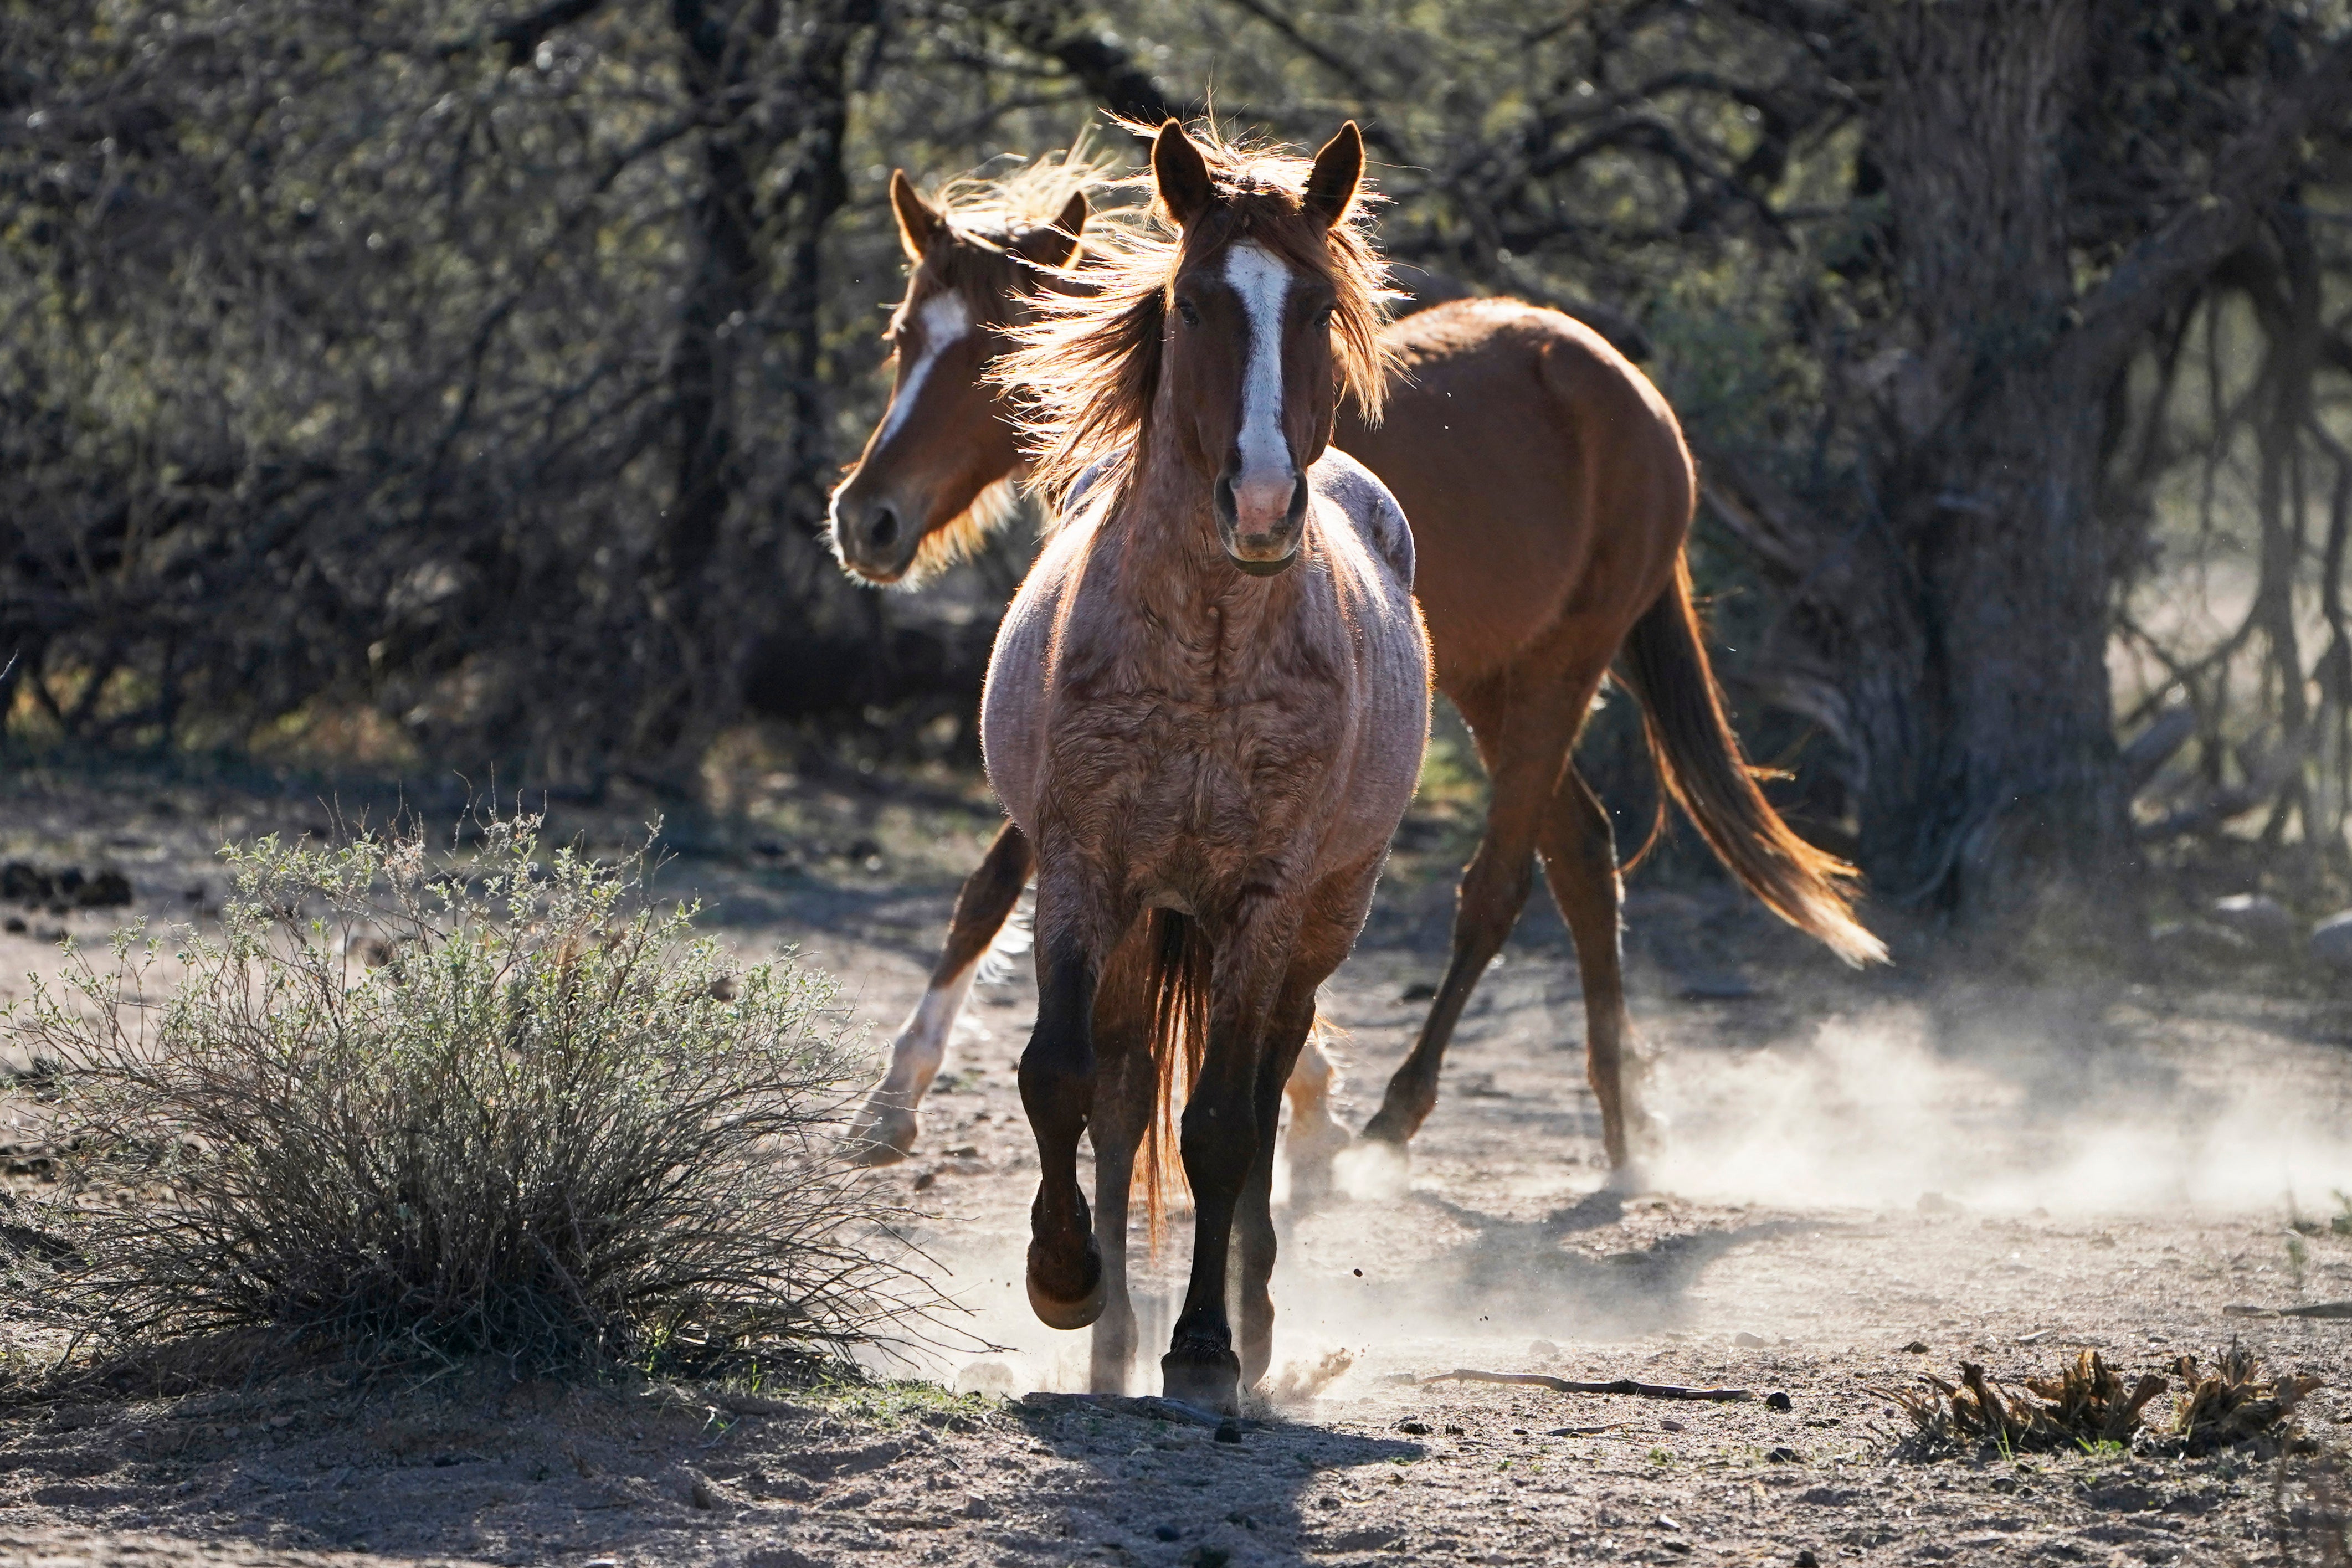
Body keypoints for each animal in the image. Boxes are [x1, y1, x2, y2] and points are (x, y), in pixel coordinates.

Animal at [837, 143, 1881, 1175]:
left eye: (996, 344)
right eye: (904, 336)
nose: (867, 518)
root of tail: (1640, 397)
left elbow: (999, 883)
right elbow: (990, 891)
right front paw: (891, 1099)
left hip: (1558, 674)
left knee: (1500, 886)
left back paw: (1402, 1114)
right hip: (1497, 684)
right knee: (1584, 855)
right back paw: (1624, 1120)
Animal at [983, 122, 1420, 1410]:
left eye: (1318, 305)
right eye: (1191, 303)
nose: (1265, 504)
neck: (1206, 653)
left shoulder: (1265, 901)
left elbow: (1224, 1126)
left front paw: (1207, 1349)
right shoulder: (1082, 870)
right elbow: (1061, 1076)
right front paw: (1064, 1280)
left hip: (1313, 926)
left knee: (1264, 1094)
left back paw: (1250, 1328)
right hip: (1145, 921)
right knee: (1126, 1092)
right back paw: (1110, 1340)